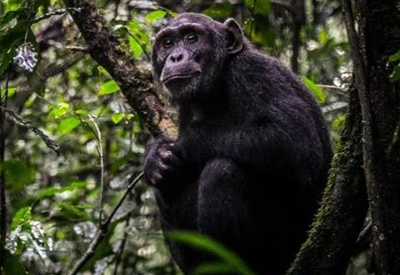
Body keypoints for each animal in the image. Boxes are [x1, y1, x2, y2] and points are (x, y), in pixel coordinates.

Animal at [144, 12, 332, 275]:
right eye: (168, 43)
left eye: (191, 38)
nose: (175, 56)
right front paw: (156, 159)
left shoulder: (254, 74)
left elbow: (294, 142)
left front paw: (179, 144)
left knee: (223, 171)